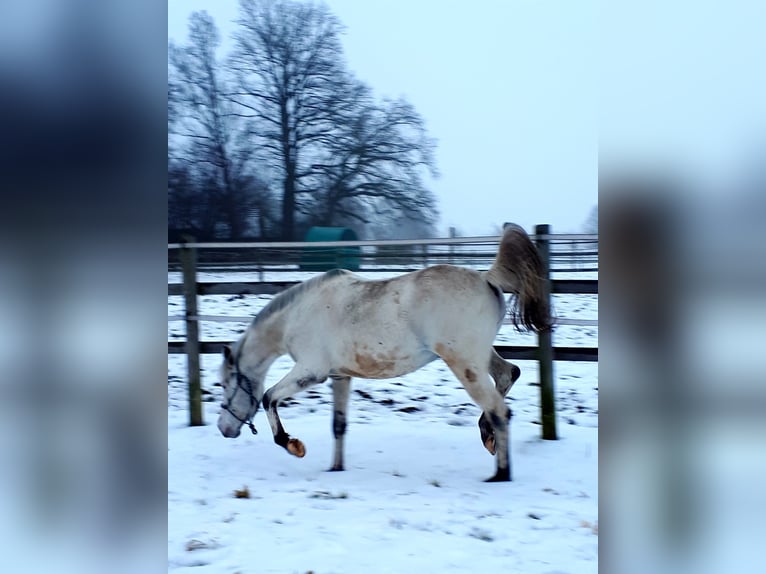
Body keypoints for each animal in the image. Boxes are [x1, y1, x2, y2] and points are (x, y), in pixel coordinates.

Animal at [216, 223, 551, 482]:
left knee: (499, 410)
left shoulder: (312, 371)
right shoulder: (340, 376)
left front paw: (293, 445)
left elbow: (267, 397)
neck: (298, 315)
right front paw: (335, 468)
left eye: (224, 384)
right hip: (478, 358)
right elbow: (338, 425)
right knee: (508, 375)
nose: (223, 429)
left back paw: (500, 474)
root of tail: (487, 279)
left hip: (464, 363)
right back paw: (487, 436)